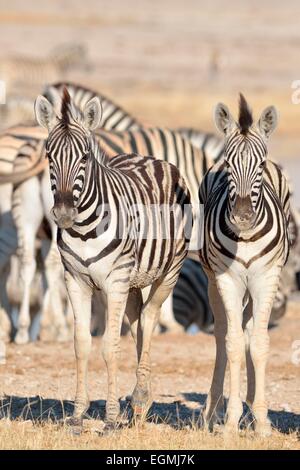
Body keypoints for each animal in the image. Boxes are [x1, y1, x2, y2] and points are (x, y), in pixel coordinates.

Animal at [33, 88, 192, 430]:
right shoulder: (75, 281)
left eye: (84, 157)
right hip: (132, 282)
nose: (64, 214)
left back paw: (141, 398)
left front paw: (109, 417)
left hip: (167, 272)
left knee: (149, 317)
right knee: (137, 322)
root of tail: (150, 158)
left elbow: (109, 346)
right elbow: (81, 344)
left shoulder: (114, 282)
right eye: (49, 157)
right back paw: (138, 400)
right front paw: (78, 414)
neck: (84, 230)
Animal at [199, 93, 290, 436]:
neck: (246, 237)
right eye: (228, 165)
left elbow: (259, 343)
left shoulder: (266, 277)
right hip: (213, 280)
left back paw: (252, 409)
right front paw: (230, 421)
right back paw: (212, 412)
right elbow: (234, 343)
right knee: (223, 335)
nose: (241, 216)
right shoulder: (228, 280)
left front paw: (262, 421)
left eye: (260, 165)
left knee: (251, 331)